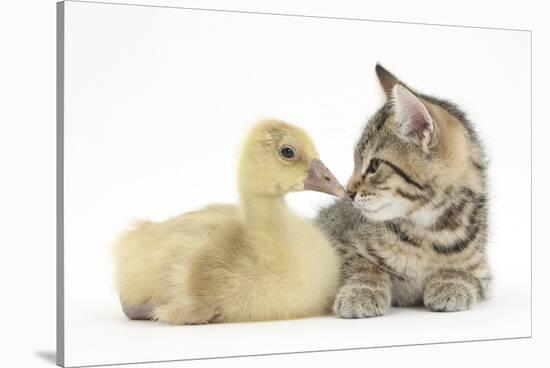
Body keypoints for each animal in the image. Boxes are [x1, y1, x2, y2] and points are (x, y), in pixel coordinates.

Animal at [316, 65, 494, 316]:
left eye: (374, 166)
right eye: (356, 161)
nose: (347, 192)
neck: (431, 230)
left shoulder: (483, 269)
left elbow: (464, 271)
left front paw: (451, 282)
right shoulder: (335, 241)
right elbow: (361, 263)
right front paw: (363, 290)